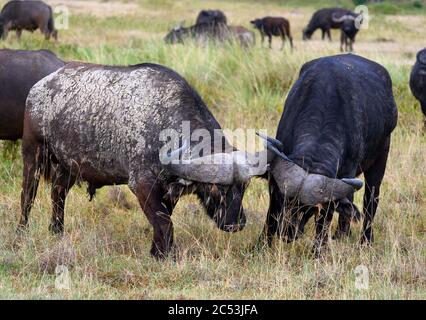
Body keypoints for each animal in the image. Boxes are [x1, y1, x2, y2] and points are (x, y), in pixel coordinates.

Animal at [20, 62, 266, 258]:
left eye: (244, 188)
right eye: (215, 189)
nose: (236, 223)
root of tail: (39, 87)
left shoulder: (168, 190)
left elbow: (163, 220)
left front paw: (156, 252)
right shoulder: (142, 185)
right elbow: (165, 222)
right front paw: (167, 255)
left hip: (68, 167)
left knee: (58, 195)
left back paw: (56, 231)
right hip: (33, 155)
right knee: (28, 196)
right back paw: (21, 230)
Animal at [258, 53, 398, 256]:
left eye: (311, 209)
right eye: (279, 197)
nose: (287, 232)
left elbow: (325, 221)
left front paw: (318, 252)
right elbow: (270, 216)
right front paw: (261, 245)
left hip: (381, 157)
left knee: (370, 200)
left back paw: (364, 241)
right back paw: (342, 234)